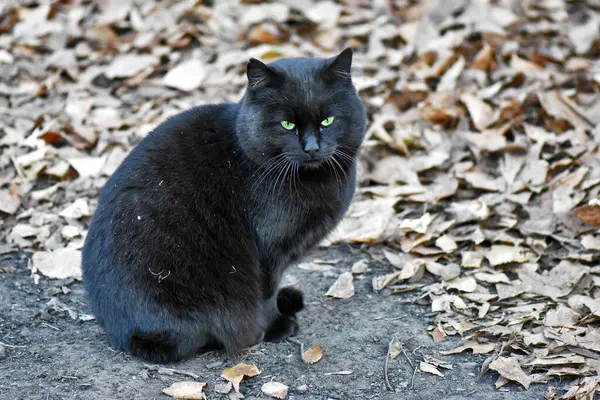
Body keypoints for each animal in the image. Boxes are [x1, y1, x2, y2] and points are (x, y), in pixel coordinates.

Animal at [82, 47, 368, 362]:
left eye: (328, 121)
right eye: (287, 124)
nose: (312, 148)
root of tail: (118, 330)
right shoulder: (267, 252)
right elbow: (265, 294)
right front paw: (276, 326)